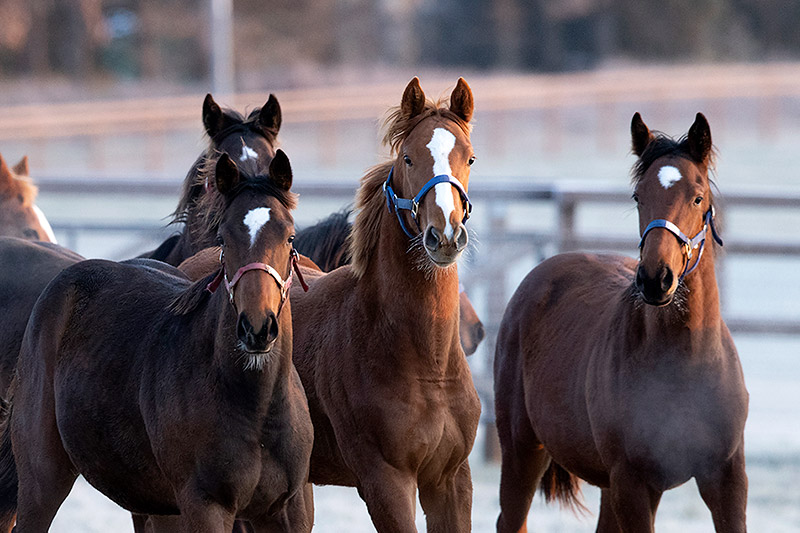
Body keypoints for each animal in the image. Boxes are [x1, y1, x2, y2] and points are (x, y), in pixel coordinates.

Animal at [0, 152, 312, 528]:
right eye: (223, 239)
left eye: (290, 238)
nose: (257, 327)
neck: (257, 408)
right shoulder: (205, 506)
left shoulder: (288, 509)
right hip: (42, 480)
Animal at [494, 112, 752, 532]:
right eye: (638, 196)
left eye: (697, 197)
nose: (655, 279)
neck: (684, 365)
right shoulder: (632, 482)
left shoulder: (727, 479)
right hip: (522, 450)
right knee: (511, 518)